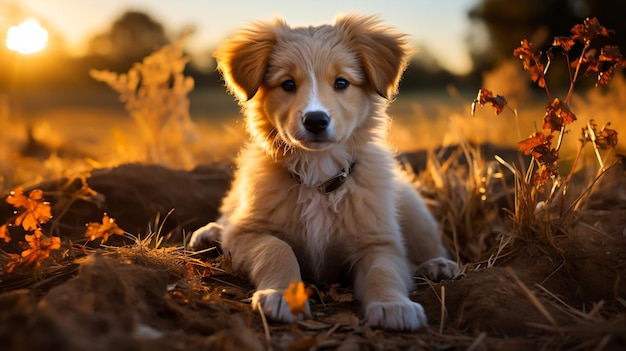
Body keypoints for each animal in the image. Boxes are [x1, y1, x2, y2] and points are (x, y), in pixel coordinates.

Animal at [188, 14, 456, 332]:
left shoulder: (378, 240)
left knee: (431, 246)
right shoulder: (248, 233)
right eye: (287, 84)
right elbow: (277, 249)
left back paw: (438, 265)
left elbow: (383, 270)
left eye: (341, 82)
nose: (315, 120)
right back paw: (209, 234)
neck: (317, 176)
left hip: (414, 211)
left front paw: (393, 305)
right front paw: (282, 296)